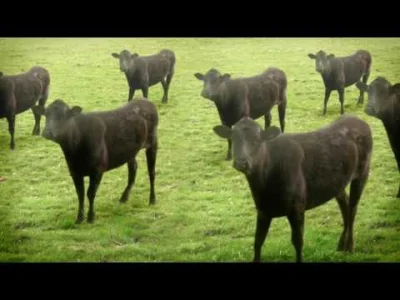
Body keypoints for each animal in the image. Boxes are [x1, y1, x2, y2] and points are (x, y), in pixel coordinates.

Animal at [214, 113, 374, 262]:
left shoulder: (297, 207)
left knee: (352, 208)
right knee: (344, 205)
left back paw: (350, 246)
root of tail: (357, 119)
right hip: (337, 182)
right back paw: (341, 245)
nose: (241, 162)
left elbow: (298, 242)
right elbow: (258, 241)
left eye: (257, 141)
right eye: (234, 139)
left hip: (362, 173)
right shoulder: (263, 210)